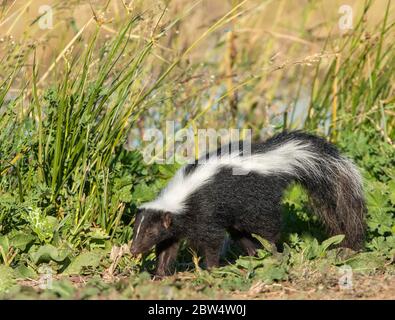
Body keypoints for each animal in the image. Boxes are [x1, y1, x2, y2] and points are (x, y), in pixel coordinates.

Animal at [131, 130, 366, 276]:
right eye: (136, 230)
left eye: (149, 232)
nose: (133, 250)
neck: (182, 196)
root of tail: (278, 158)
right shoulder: (177, 224)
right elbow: (167, 248)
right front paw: (159, 274)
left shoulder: (205, 211)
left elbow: (213, 241)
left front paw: (212, 269)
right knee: (243, 234)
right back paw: (254, 255)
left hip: (258, 203)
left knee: (268, 230)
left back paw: (270, 253)